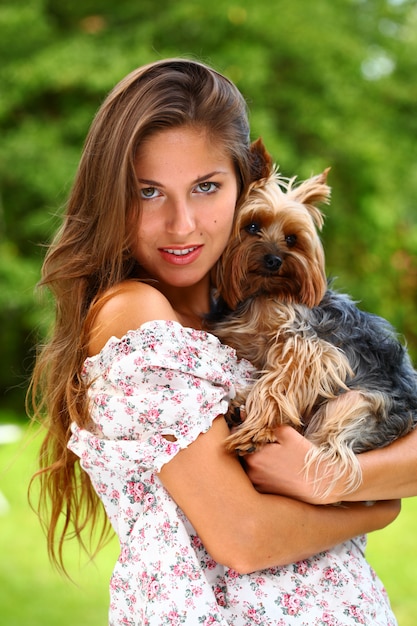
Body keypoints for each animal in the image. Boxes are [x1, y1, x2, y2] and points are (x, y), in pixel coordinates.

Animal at [208, 139, 416, 494]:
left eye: (292, 238)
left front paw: (257, 427)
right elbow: (265, 374)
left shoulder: (310, 347)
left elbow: (279, 381)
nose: (274, 260)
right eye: (252, 227)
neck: (261, 295)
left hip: (351, 406)